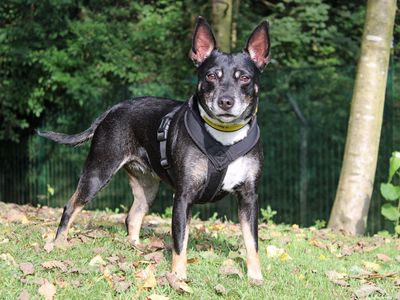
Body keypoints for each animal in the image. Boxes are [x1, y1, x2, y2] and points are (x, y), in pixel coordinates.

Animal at [39, 16, 270, 282]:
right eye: (211, 76)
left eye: (245, 78)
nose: (226, 102)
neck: (224, 137)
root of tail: (113, 109)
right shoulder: (183, 195)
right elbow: (180, 241)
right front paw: (178, 278)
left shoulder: (249, 197)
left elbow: (251, 241)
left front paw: (256, 277)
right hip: (98, 172)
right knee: (71, 206)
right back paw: (58, 245)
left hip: (147, 187)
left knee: (132, 216)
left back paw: (136, 249)